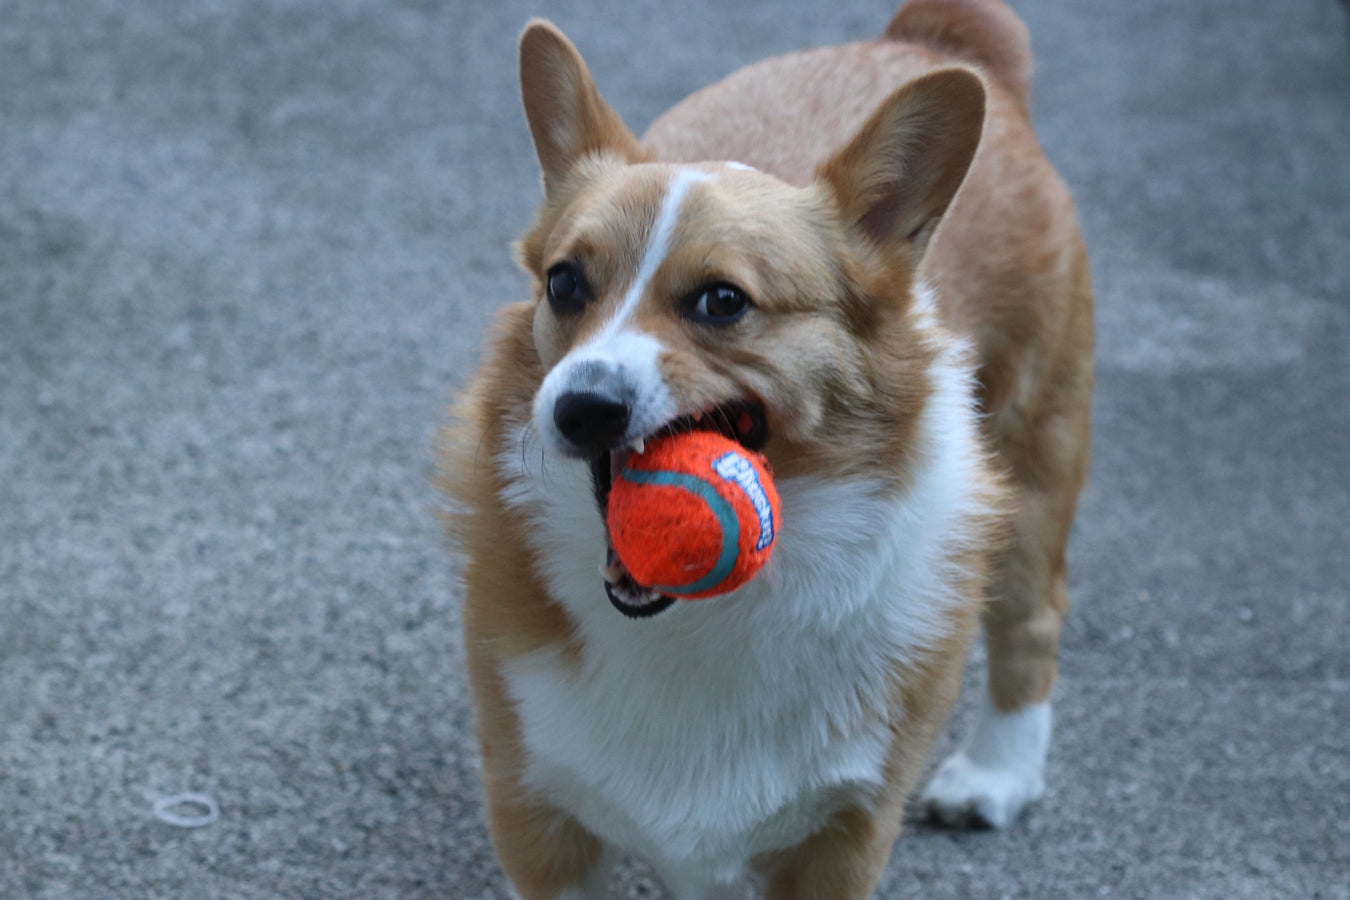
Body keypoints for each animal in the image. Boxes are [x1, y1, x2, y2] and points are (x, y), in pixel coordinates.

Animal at [437, 1, 1090, 895]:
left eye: (722, 301)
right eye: (565, 283)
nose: (581, 408)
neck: (707, 617)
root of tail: (928, 38)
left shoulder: (845, 834)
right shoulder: (535, 812)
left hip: (1035, 455)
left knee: (1032, 615)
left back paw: (997, 775)